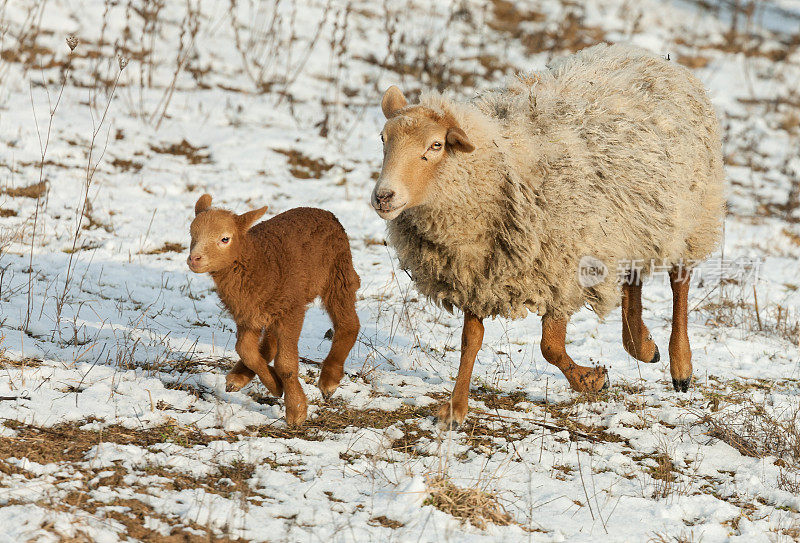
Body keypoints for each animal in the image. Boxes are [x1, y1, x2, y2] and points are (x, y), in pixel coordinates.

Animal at [186, 193, 360, 428]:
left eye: (225, 239)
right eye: (191, 234)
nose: (194, 259)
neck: (257, 262)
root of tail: (325, 212)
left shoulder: (291, 310)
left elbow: (285, 364)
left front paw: (296, 410)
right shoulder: (246, 313)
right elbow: (246, 350)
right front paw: (275, 385)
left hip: (338, 273)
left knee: (348, 323)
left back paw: (329, 380)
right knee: (269, 341)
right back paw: (238, 377)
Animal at [372, 42, 728, 428]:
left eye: (435, 145)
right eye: (383, 139)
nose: (383, 196)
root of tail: (644, 53)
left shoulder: (563, 269)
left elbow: (550, 346)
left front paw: (592, 381)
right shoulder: (478, 275)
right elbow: (471, 340)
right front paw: (456, 408)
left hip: (692, 213)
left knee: (680, 280)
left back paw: (680, 365)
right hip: (631, 223)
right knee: (632, 278)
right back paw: (643, 345)